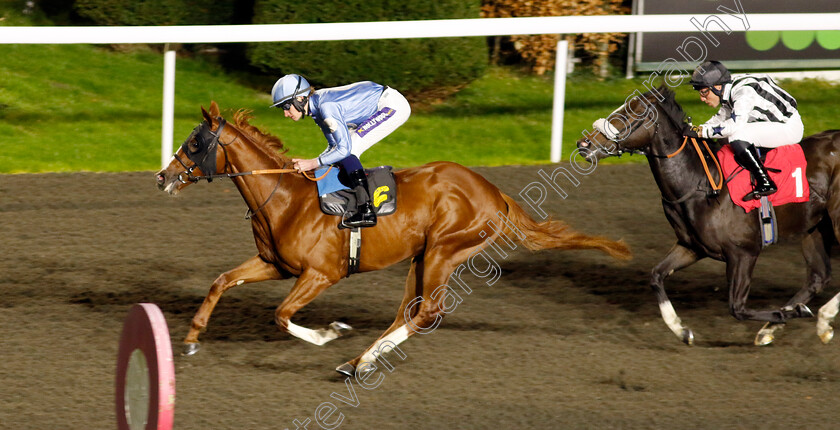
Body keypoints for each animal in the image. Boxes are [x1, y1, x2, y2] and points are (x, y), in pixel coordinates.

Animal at [158, 101, 632, 376]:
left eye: (196, 142)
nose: (162, 177)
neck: (286, 197)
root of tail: (494, 193)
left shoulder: (321, 274)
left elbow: (281, 314)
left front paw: (329, 333)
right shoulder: (274, 264)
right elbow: (221, 281)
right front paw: (192, 339)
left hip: (444, 250)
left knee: (427, 313)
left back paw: (358, 359)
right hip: (422, 256)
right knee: (409, 310)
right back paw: (359, 361)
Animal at [576, 85, 840, 348]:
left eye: (630, 113)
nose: (583, 143)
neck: (701, 183)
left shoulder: (744, 253)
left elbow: (737, 308)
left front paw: (795, 312)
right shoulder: (692, 247)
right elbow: (656, 276)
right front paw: (682, 330)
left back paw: (820, 316)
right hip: (815, 227)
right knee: (818, 276)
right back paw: (780, 327)